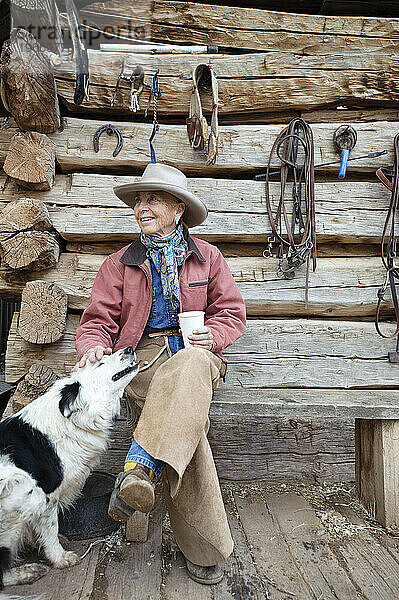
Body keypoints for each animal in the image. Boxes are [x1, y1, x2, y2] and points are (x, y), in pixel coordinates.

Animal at [0, 346, 140, 592]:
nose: (129, 348)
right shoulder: (47, 495)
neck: (72, 421)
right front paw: (59, 557)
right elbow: (50, 526)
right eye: (100, 363)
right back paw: (29, 572)